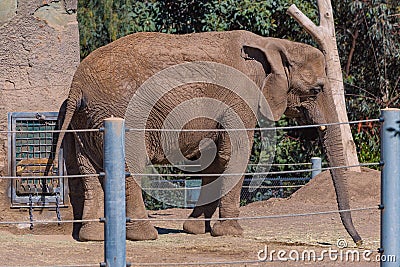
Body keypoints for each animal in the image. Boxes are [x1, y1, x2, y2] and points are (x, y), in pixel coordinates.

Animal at [54, 30, 362, 246]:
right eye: (317, 89)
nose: (357, 242)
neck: (274, 44)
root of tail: (76, 84)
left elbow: (214, 158)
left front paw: (196, 230)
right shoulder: (242, 95)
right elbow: (234, 154)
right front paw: (232, 233)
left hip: (84, 122)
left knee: (87, 172)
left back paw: (92, 236)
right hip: (123, 112)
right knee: (129, 167)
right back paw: (145, 235)